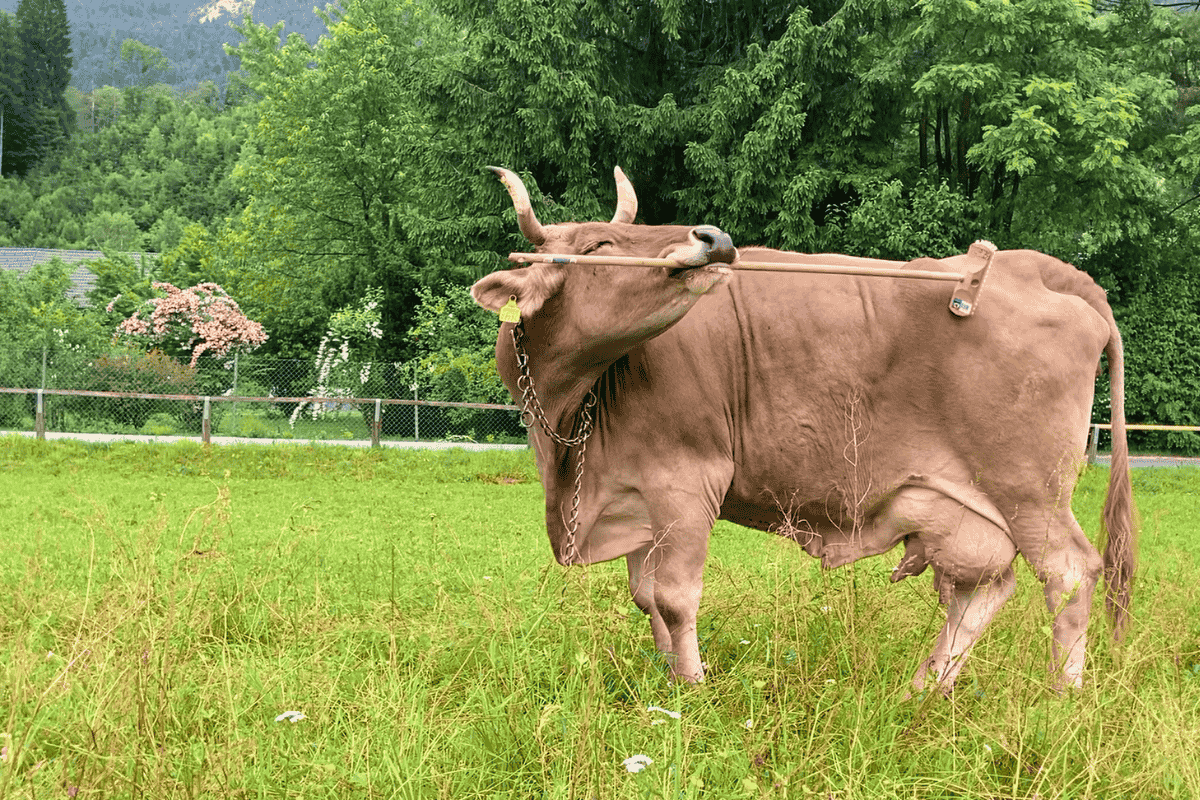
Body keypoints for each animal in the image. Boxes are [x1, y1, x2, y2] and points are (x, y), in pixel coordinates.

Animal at [471, 166, 1136, 693]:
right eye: (602, 243)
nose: (713, 237)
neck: (570, 424)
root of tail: (1040, 269)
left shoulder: (686, 480)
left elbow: (675, 596)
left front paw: (691, 686)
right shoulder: (634, 494)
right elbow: (644, 594)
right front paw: (663, 673)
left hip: (1030, 492)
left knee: (1071, 575)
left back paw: (1061, 696)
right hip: (969, 509)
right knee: (987, 590)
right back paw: (927, 686)